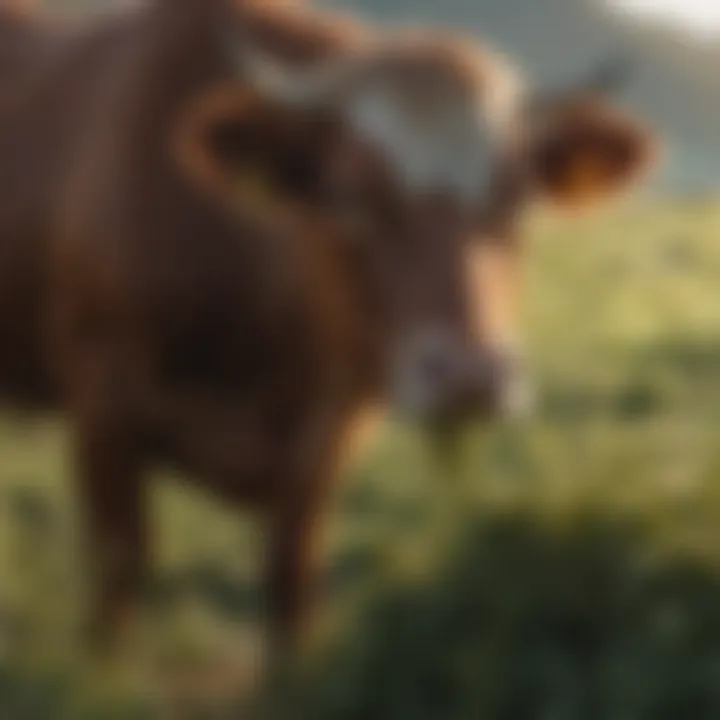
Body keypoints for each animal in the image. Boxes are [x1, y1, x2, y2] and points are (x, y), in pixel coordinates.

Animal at [0, 0, 660, 676]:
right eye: (347, 192)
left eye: (517, 195)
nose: (470, 377)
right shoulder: (101, 400)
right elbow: (120, 566)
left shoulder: (328, 434)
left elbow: (292, 579)